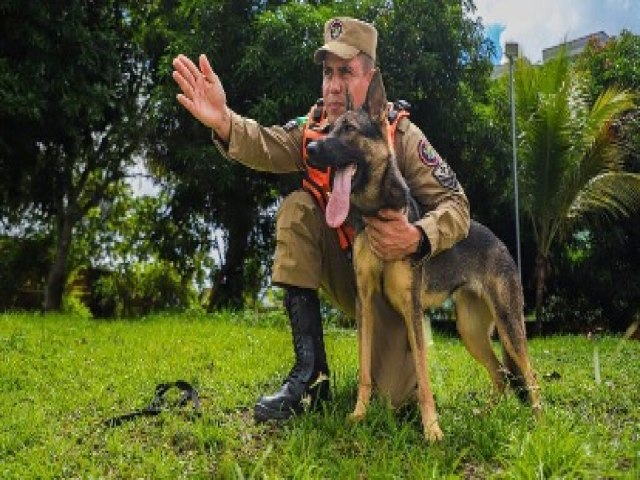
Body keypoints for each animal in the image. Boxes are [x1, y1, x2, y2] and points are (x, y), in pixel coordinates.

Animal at [304, 69, 540, 440]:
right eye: (328, 129)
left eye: (350, 129)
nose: (311, 148)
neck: (376, 211)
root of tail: (500, 242)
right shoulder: (365, 304)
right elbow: (365, 370)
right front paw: (359, 414)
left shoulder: (412, 311)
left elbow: (424, 377)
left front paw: (432, 429)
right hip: (471, 331)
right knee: (501, 375)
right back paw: (485, 417)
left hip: (509, 325)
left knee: (530, 375)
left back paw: (540, 424)